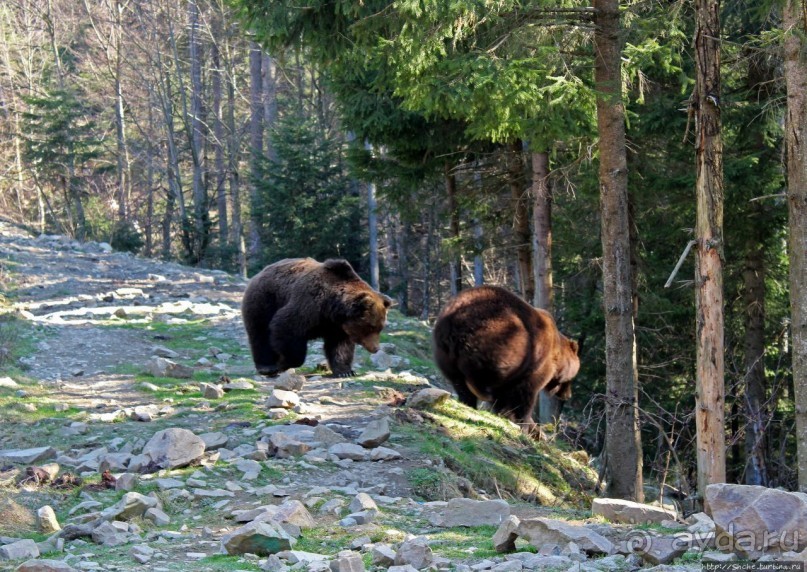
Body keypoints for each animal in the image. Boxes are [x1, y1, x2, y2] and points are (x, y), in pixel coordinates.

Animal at [241, 258, 392, 376]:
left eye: (380, 328)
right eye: (371, 327)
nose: (375, 348)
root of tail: (261, 272)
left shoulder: (337, 326)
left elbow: (340, 346)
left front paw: (345, 371)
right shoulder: (309, 306)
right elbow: (287, 327)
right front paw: (284, 363)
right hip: (264, 300)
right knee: (260, 332)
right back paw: (267, 367)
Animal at [436, 284, 580, 436]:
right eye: (572, 378)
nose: (568, 395)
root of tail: (456, 321)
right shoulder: (537, 365)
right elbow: (525, 394)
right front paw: (523, 423)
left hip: (444, 350)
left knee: (459, 382)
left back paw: (469, 401)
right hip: (504, 335)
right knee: (486, 372)